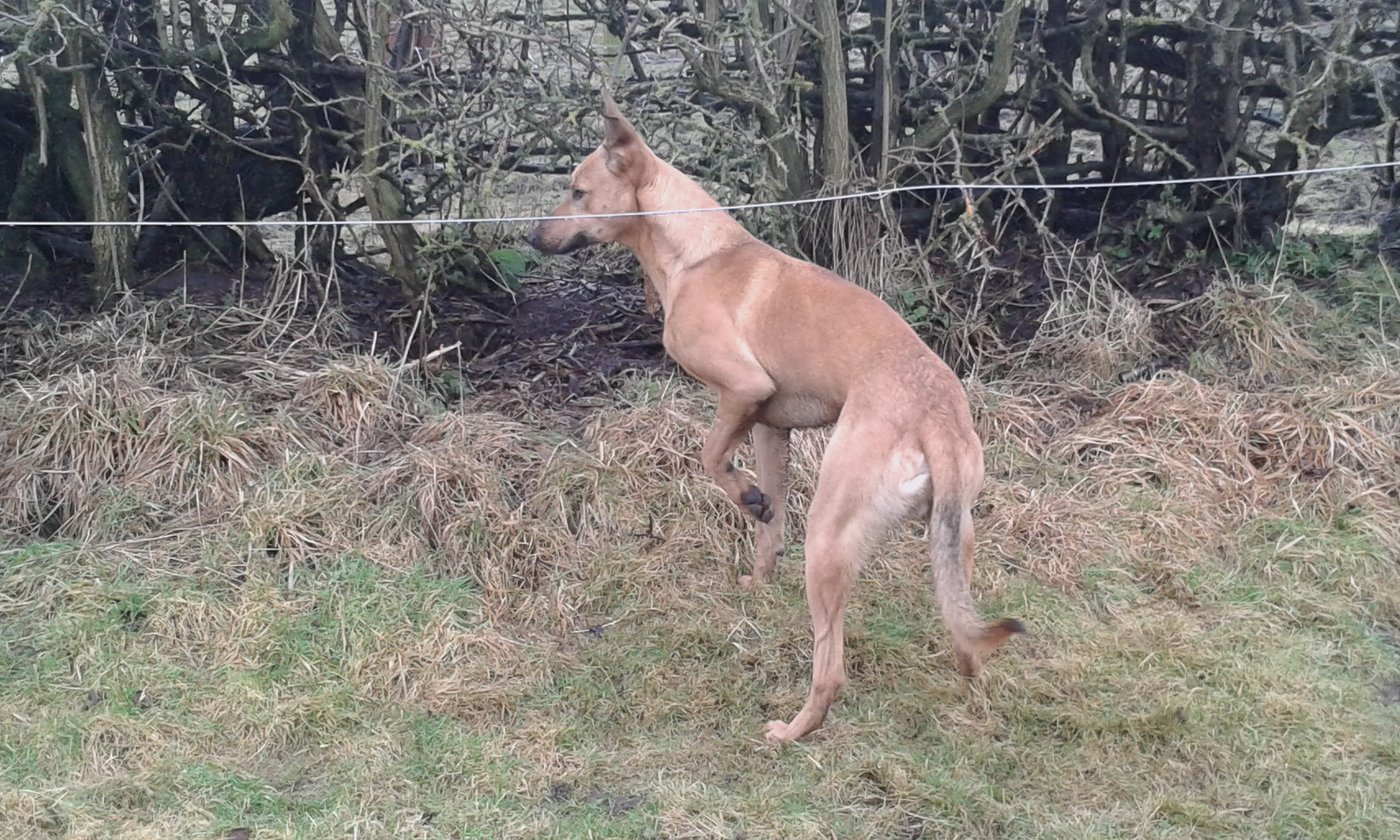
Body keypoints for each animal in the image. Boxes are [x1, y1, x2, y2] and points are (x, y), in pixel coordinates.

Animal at [526, 93, 1019, 739]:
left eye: (578, 191)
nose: (532, 237)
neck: (700, 254)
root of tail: (936, 413)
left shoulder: (742, 390)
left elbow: (711, 458)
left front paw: (746, 497)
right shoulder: (768, 425)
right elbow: (769, 526)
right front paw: (757, 571)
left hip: (829, 537)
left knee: (831, 668)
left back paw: (793, 730)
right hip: (954, 539)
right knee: (967, 636)